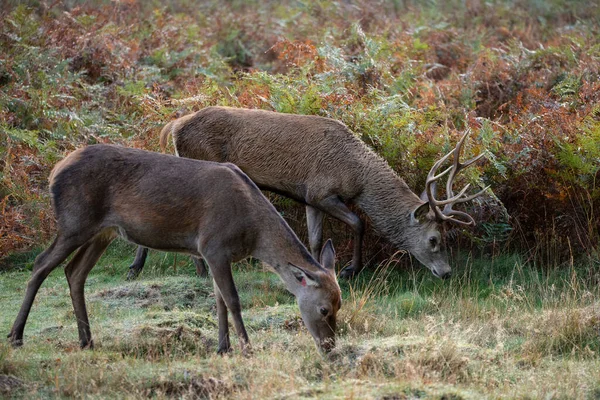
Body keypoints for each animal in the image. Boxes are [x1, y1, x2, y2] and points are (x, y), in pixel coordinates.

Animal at [8, 145, 342, 354]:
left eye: (340, 305)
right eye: (324, 309)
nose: (330, 346)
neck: (253, 233)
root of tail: (54, 171)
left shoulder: (215, 254)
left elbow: (218, 301)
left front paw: (223, 348)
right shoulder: (213, 245)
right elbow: (232, 300)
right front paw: (247, 348)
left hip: (102, 232)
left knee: (73, 272)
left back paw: (87, 340)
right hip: (74, 221)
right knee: (40, 265)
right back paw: (16, 336)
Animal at [129, 108, 486, 280]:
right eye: (434, 239)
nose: (446, 273)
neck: (355, 174)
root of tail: (174, 125)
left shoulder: (307, 197)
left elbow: (314, 238)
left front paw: (318, 268)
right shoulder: (320, 190)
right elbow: (358, 222)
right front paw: (350, 270)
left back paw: (140, 266)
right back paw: (193, 270)